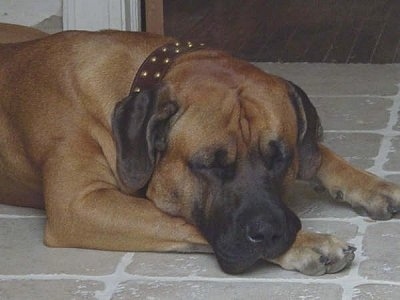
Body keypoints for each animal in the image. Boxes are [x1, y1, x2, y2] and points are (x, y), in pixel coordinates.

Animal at [2, 24, 400, 276]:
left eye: (280, 158)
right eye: (208, 165)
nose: (269, 233)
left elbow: (318, 152)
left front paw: (373, 186)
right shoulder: (80, 205)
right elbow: (175, 219)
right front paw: (308, 242)